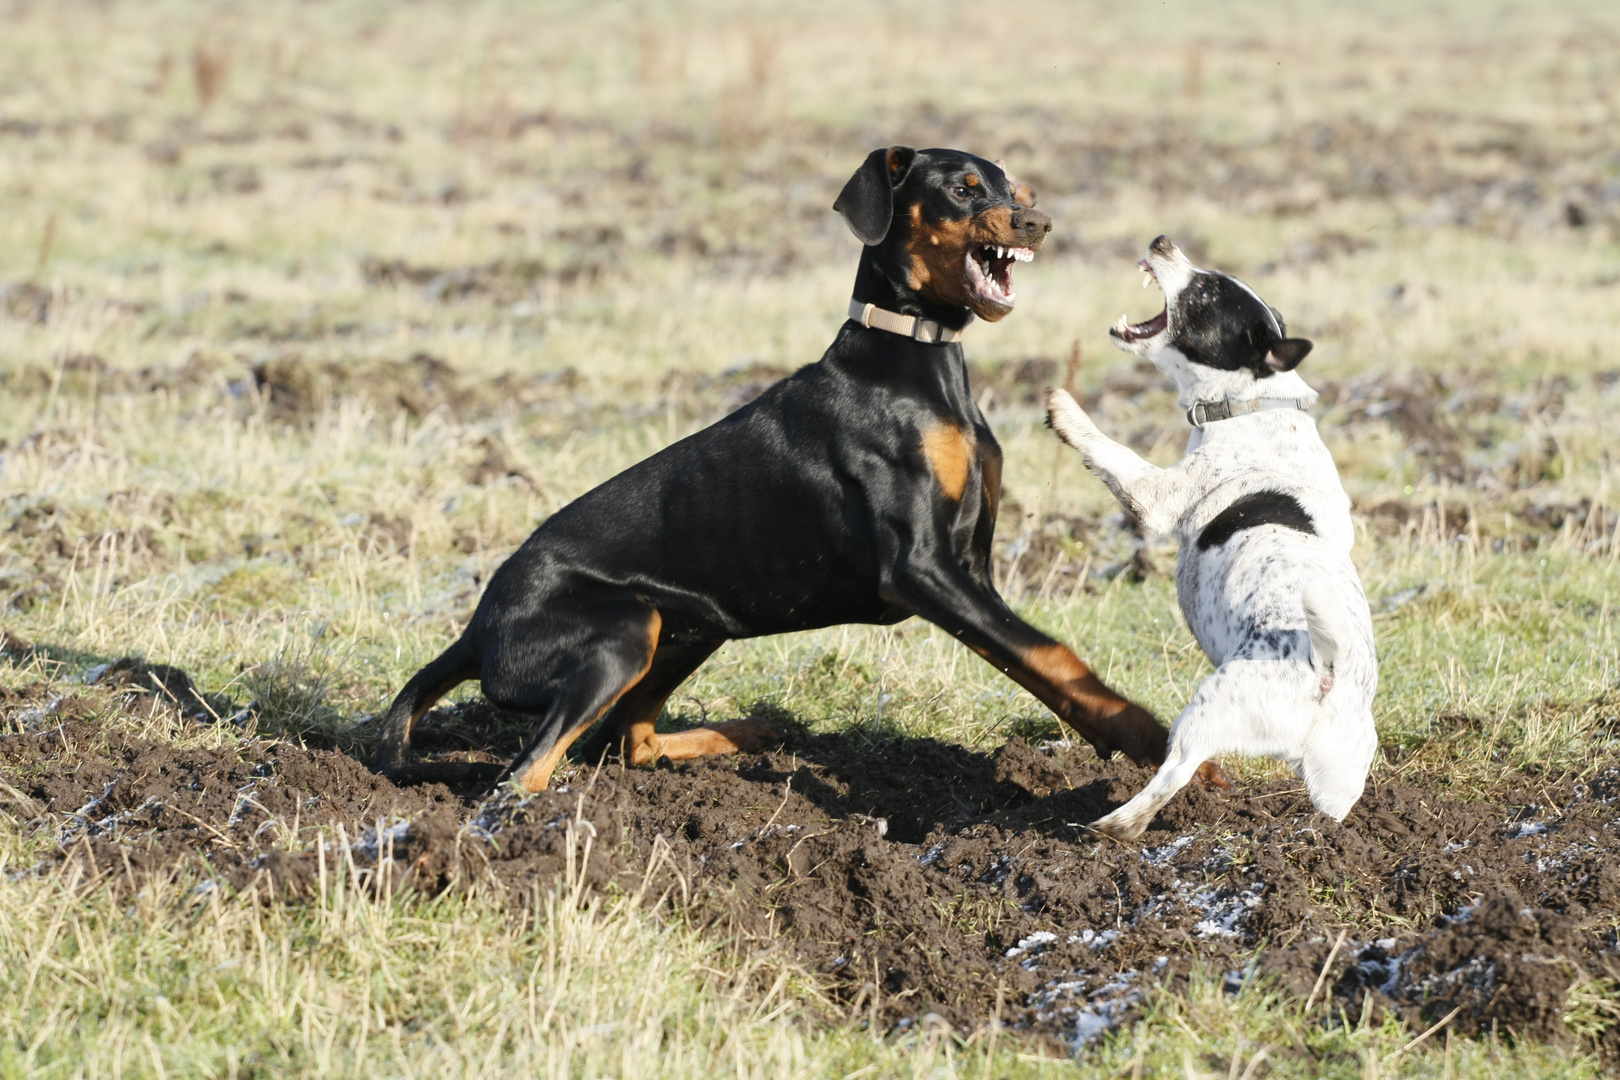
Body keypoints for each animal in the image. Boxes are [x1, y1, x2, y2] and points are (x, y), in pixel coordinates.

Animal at [1049, 238, 1380, 841]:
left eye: (1206, 291)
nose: (1162, 241)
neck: (1254, 401)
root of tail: (1330, 673)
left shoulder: (1157, 495)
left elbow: (1113, 452)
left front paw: (1064, 409)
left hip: (1207, 707)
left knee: (1174, 771)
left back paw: (1112, 825)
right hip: (1337, 779)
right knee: (1329, 813)